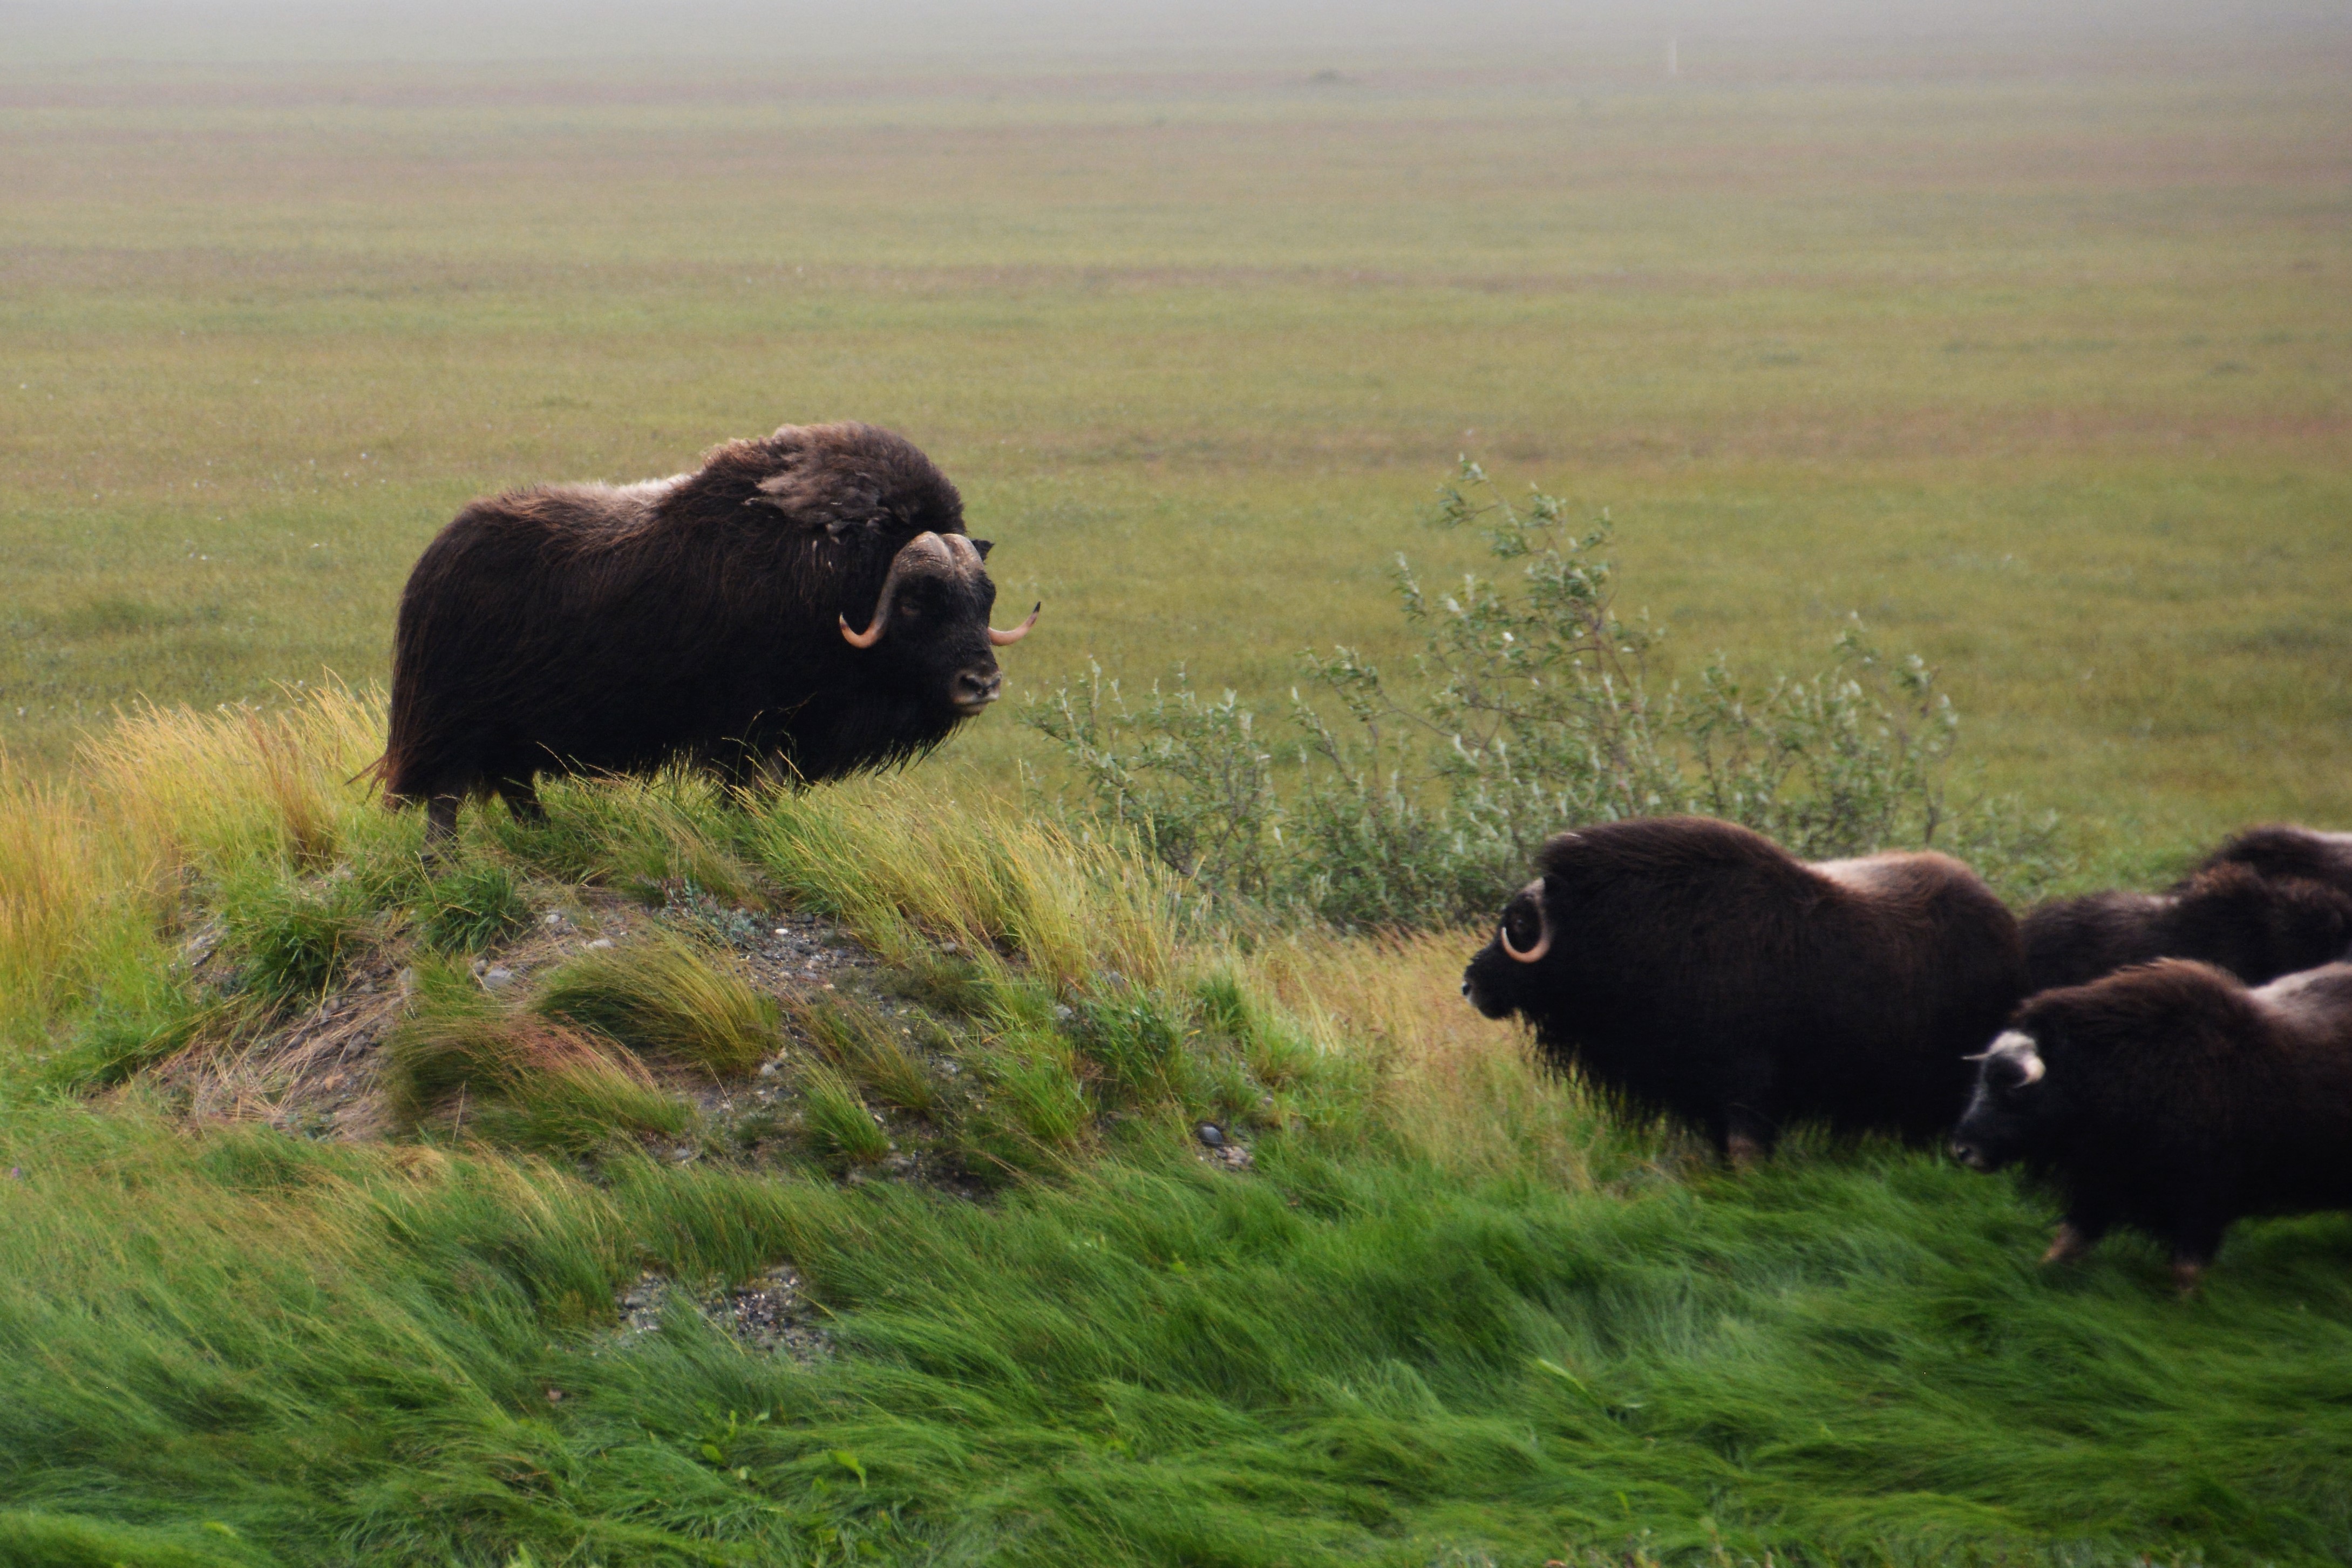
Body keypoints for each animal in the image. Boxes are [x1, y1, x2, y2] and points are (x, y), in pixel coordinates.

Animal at [374, 422, 1037, 845]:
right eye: (917, 602)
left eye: (984, 598)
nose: (981, 683)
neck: (840, 576)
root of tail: (434, 560)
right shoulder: (749, 724)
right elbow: (742, 792)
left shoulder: (785, 729)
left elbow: (764, 793)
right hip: (456, 718)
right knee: (448, 797)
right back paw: (444, 864)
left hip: (513, 730)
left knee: (513, 786)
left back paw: (546, 836)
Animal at [1460, 816, 2027, 1163]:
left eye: (1518, 923)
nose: (1469, 985)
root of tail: (2001, 917)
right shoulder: (1705, 1090)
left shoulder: (1747, 1083)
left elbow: (1746, 1148)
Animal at [1950, 959, 2352, 1294]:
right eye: (1983, 1080)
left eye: (2012, 1088)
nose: (1962, 1150)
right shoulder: (2101, 1183)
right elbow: (2068, 1242)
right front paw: (2037, 1277)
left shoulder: (2202, 1198)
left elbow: (2186, 1269)